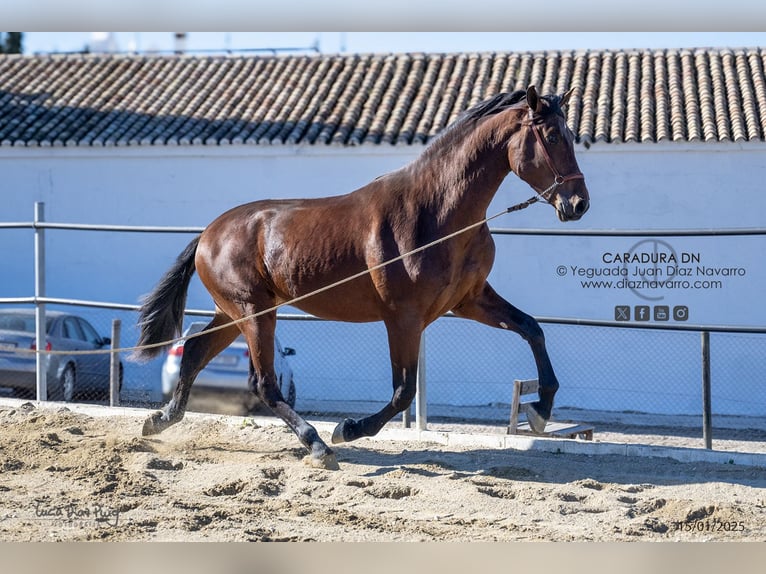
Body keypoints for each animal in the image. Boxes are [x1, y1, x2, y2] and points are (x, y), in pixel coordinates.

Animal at [135, 86, 592, 472]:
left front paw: (539, 411)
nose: (578, 204)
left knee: (195, 351)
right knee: (263, 383)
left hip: (233, 314)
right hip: (254, 313)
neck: (437, 213)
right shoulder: (403, 317)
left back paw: (160, 420)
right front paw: (349, 428)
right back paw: (318, 444)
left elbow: (532, 330)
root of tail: (208, 233)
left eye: (571, 135)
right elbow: (403, 391)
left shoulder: (470, 300)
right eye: (552, 136)